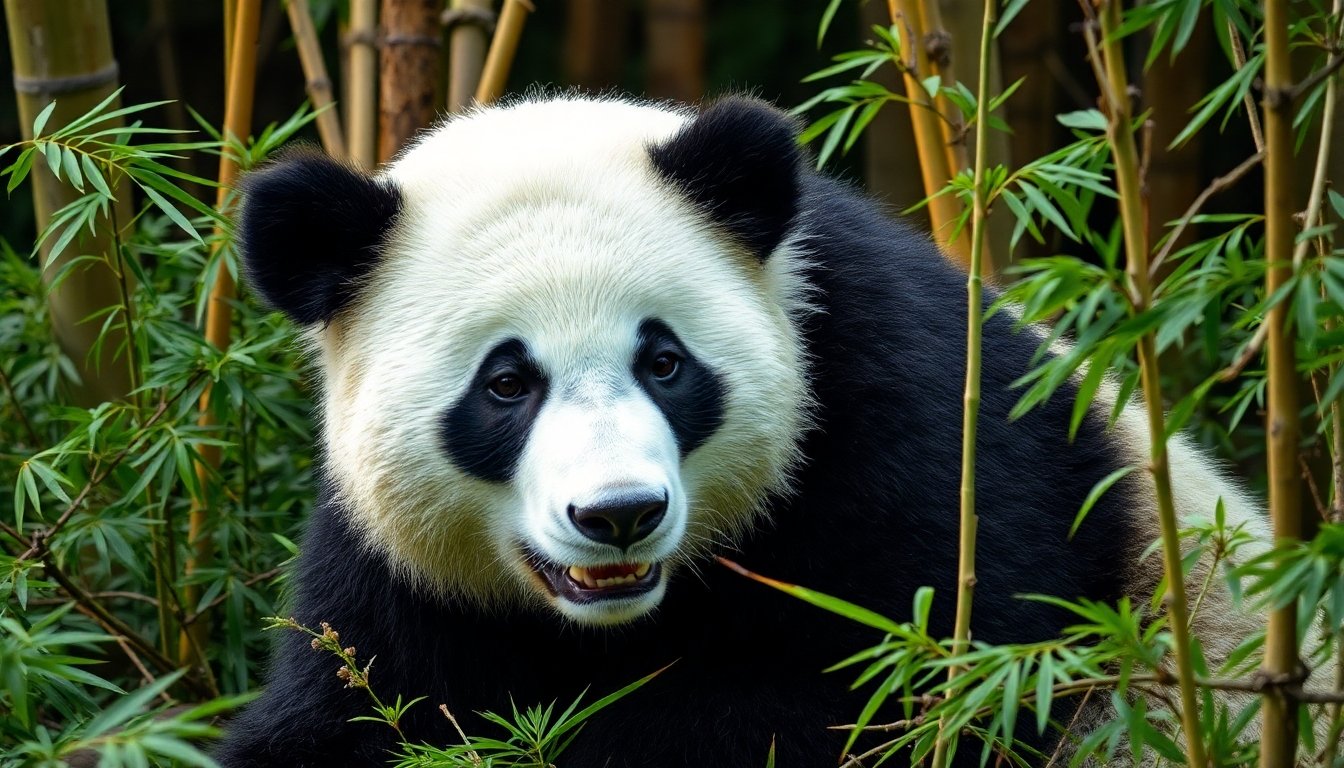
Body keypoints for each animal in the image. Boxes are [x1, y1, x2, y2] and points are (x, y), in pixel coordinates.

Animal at [217, 95, 1270, 767]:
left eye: (664, 362)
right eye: (507, 384)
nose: (619, 515)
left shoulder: (917, 426)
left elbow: (904, 687)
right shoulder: (393, 570)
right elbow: (335, 717)